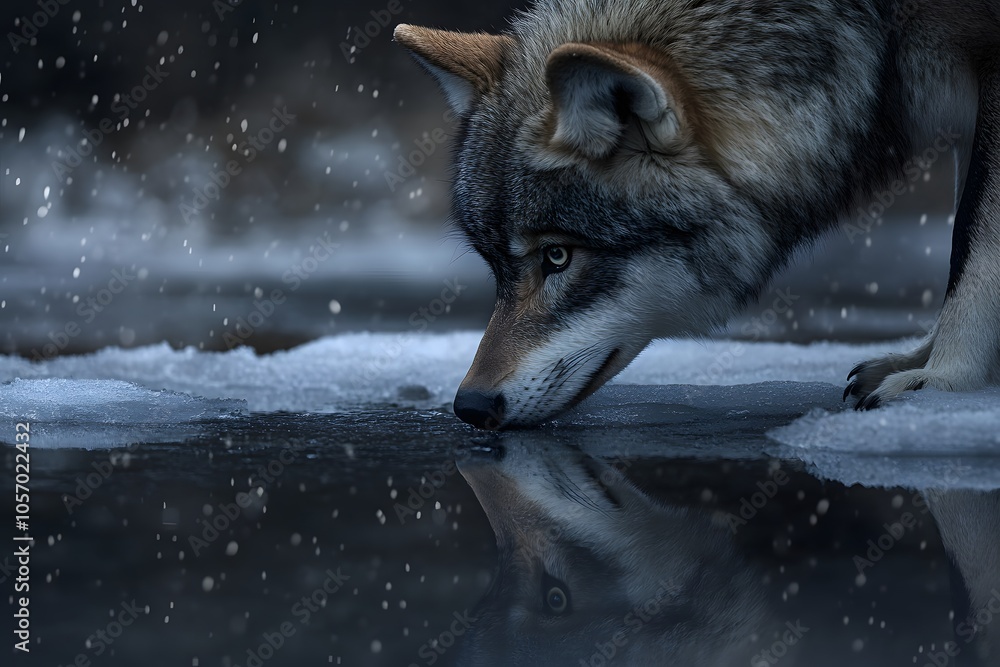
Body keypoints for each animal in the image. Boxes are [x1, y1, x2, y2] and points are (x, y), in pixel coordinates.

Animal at [395, 0, 1000, 429]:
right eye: (495, 266)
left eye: (558, 256)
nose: (470, 406)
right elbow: (959, 241)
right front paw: (925, 361)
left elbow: (972, 243)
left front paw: (942, 380)